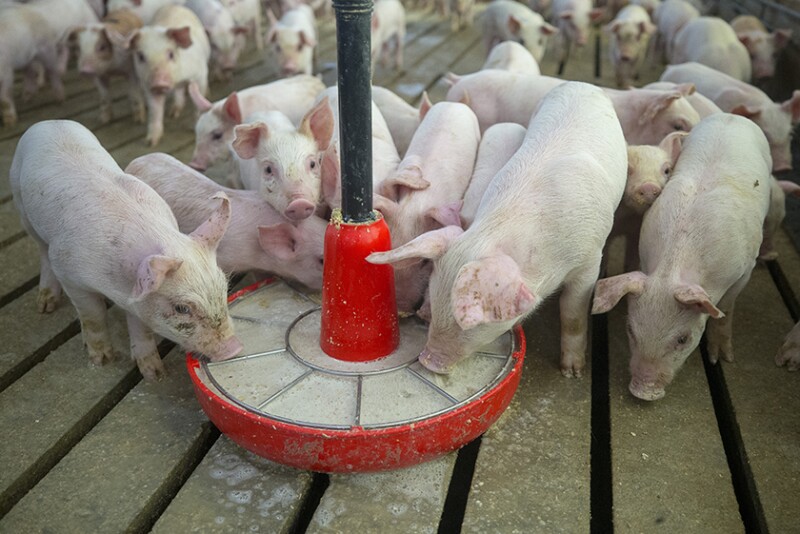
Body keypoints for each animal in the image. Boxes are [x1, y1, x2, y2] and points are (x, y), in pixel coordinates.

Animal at [10, 120, 242, 381]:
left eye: (224, 288)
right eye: (182, 308)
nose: (234, 348)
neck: (118, 286)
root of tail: (49, 122)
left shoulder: (137, 301)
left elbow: (141, 328)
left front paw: (154, 374)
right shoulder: (69, 274)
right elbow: (93, 317)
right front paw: (102, 361)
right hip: (21, 205)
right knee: (42, 251)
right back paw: (46, 306)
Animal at [126, 4, 211, 146]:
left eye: (171, 54)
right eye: (141, 56)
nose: (159, 83)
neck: (176, 79)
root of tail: (175, 6)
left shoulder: (200, 74)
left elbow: (199, 99)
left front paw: (194, 128)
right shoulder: (148, 87)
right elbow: (155, 111)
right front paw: (150, 142)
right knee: (179, 91)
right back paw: (173, 113)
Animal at [592, 113, 771, 400]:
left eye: (683, 339)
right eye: (630, 330)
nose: (643, 391)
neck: (673, 267)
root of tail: (730, 116)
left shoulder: (745, 269)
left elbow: (727, 309)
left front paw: (721, 358)